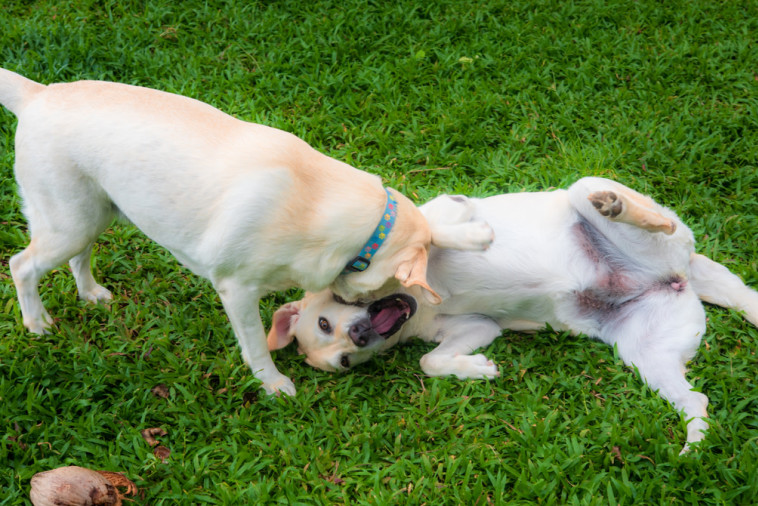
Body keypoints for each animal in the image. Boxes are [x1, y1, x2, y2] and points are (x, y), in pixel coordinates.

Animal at [270, 178, 758, 450]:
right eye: (344, 360)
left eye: (325, 322)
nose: (358, 337)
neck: (412, 302)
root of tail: (680, 270)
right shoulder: (477, 328)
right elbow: (431, 361)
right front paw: (477, 370)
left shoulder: (449, 208)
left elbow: (436, 231)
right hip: (645, 357)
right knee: (696, 401)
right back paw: (693, 446)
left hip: (588, 188)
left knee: (655, 219)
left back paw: (620, 207)